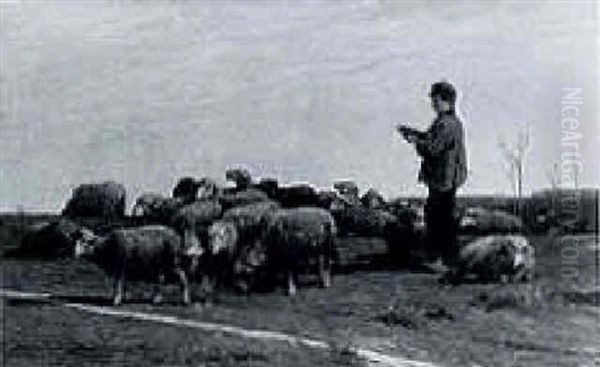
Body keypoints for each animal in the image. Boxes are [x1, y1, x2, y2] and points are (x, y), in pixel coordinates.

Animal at [71, 226, 204, 306]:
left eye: (84, 242)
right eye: (74, 241)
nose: (74, 253)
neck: (106, 246)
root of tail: (177, 238)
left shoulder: (120, 267)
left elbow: (117, 285)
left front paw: (116, 300)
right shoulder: (121, 269)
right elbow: (122, 285)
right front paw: (121, 298)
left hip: (173, 263)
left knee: (183, 279)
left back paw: (185, 301)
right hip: (160, 266)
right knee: (160, 281)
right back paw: (156, 300)